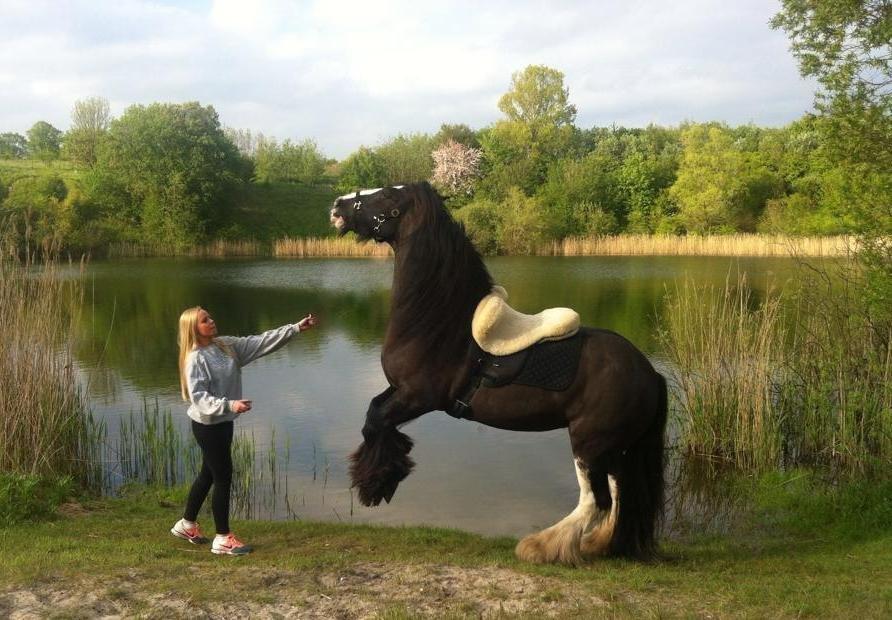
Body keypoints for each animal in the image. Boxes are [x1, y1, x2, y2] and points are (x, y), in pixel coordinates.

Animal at [332, 182, 664, 564]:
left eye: (387, 195)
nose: (338, 206)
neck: (442, 325)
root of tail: (649, 373)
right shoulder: (399, 390)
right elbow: (374, 412)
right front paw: (387, 472)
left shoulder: (418, 396)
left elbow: (375, 421)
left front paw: (376, 484)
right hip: (614, 448)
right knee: (618, 493)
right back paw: (596, 545)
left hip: (589, 443)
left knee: (596, 501)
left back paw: (541, 546)